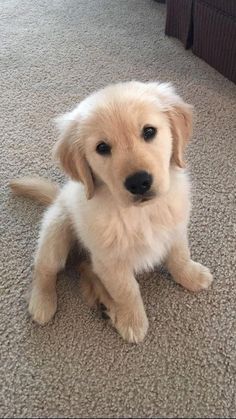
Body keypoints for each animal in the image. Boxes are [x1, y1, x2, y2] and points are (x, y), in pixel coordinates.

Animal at [9, 82, 213, 344]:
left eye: (149, 131)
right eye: (102, 148)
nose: (139, 182)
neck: (140, 214)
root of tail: (58, 196)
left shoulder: (175, 229)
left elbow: (179, 256)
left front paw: (191, 275)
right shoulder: (111, 261)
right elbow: (127, 290)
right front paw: (133, 321)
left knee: (86, 272)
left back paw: (104, 304)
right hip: (56, 232)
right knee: (44, 269)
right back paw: (42, 303)